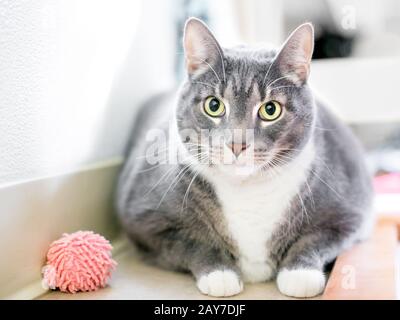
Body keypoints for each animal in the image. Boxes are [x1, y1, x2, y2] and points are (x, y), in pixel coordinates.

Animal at [117, 17, 374, 298]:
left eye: (270, 109)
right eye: (213, 105)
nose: (237, 144)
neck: (247, 191)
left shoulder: (350, 213)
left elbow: (316, 238)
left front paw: (300, 273)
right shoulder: (144, 219)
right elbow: (190, 242)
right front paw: (220, 274)